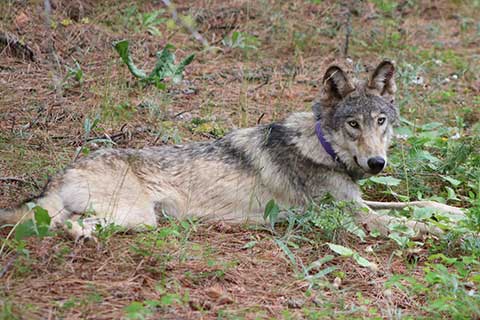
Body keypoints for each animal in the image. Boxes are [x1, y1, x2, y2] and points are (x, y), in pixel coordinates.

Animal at [0, 60, 464, 240]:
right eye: (354, 124)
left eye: (380, 121)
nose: (376, 162)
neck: (321, 147)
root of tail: (60, 174)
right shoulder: (354, 217)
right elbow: (412, 224)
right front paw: (461, 233)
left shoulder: (361, 203)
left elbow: (417, 204)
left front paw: (457, 213)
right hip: (137, 217)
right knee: (64, 225)